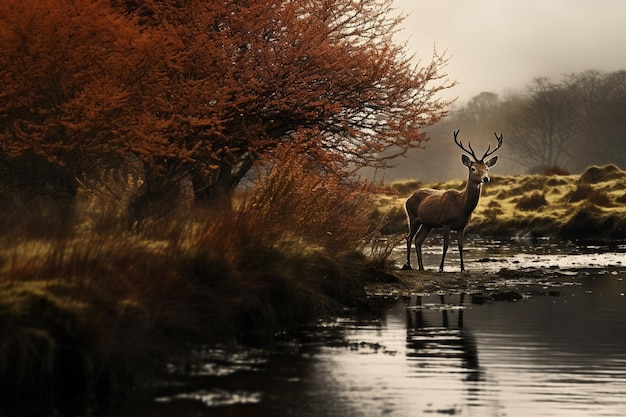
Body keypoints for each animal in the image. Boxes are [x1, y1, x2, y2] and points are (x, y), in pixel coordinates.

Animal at [400, 131, 502, 272]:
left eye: (487, 168)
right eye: (473, 168)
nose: (486, 178)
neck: (462, 207)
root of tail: (408, 198)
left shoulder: (462, 226)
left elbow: (460, 247)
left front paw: (463, 269)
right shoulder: (445, 222)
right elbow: (445, 245)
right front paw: (441, 268)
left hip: (427, 224)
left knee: (418, 240)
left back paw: (421, 267)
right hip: (412, 216)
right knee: (409, 237)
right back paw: (408, 264)